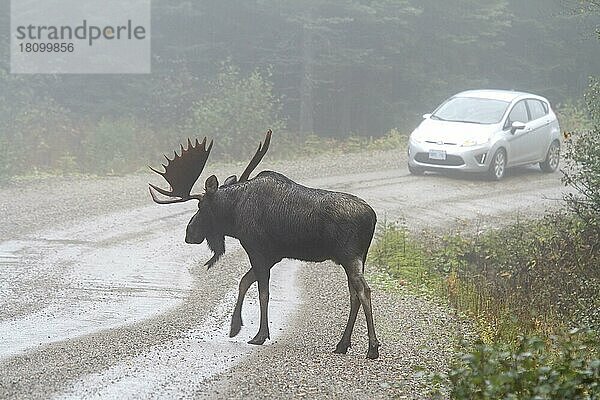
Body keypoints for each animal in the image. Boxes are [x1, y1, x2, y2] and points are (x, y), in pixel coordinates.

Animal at [149, 130, 380, 360]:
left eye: (201, 205)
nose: (189, 233)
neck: (234, 214)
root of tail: (373, 217)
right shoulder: (272, 256)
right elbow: (244, 282)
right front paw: (234, 327)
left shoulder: (256, 249)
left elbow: (263, 292)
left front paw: (259, 335)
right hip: (358, 257)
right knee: (354, 294)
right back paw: (343, 344)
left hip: (349, 255)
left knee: (364, 291)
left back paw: (372, 347)